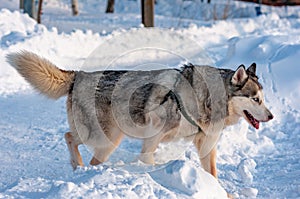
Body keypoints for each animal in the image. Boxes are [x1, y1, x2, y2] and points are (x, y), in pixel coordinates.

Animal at [5, 51, 272, 183]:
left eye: (263, 98)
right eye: (255, 99)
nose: (271, 116)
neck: (204, 98)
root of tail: (79, 74)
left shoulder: (206, 145)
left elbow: (214, 176)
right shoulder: (152, 137)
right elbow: (148, 159)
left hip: (108, 139)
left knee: (77, 142)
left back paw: (80, 168)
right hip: (105, 139)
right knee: (70, 137)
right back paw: (80, 167)